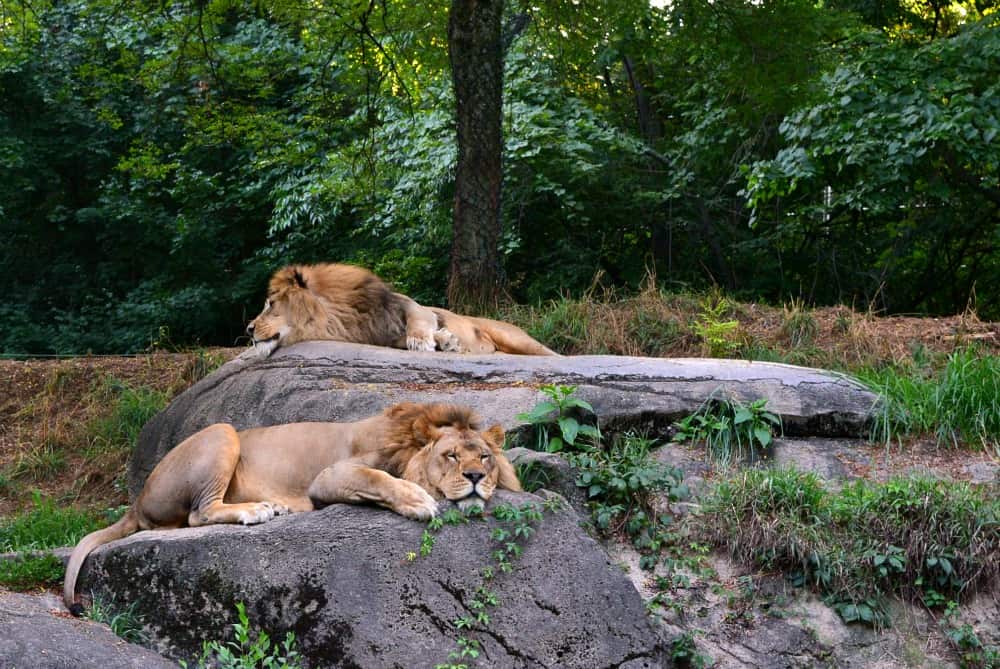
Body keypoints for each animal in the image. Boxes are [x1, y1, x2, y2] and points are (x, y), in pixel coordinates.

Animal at [60, 402, 524, 616]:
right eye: (450, 455)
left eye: (484, 457)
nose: (475, 477)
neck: (405, 444)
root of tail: (137, 500)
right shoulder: (330, 476)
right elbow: (378, 479)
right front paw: (418, 499)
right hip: (222, 432)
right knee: (197, 514)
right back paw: (258, 511)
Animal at [242, 262, 556, 358]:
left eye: (271, 304)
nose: (248, 329)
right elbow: (403, 339)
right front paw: (446, 342)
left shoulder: (414, 306)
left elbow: (418, 322)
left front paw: (426, 341)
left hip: (519, 339)